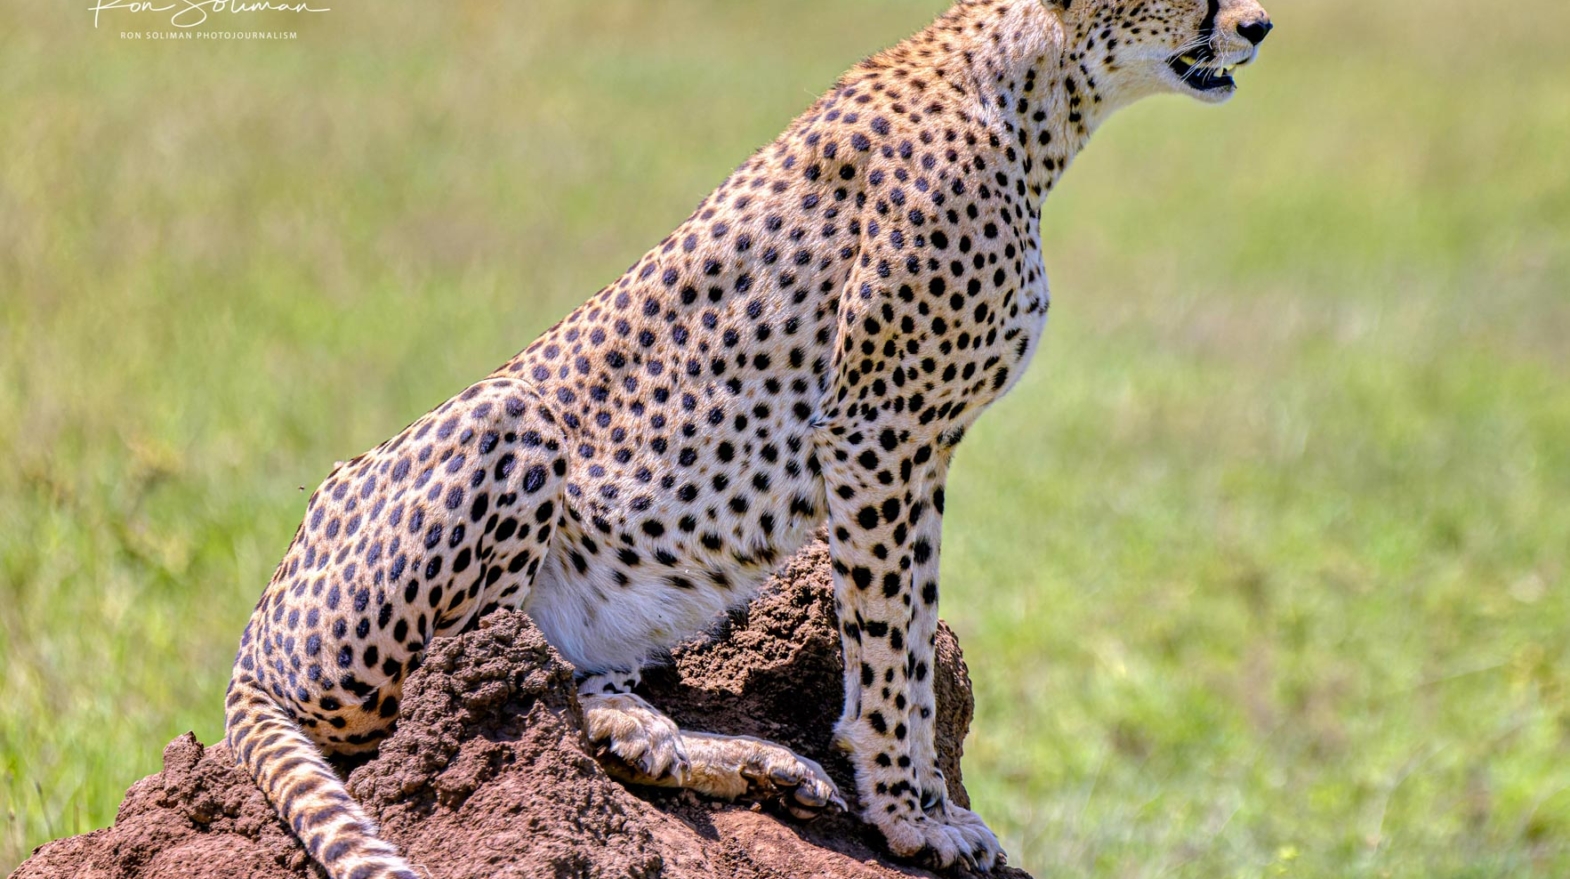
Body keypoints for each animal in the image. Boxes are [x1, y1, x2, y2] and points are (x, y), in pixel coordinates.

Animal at [223, 1, 1273, 876]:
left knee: (587, 686)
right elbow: (890, 642)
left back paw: (715, 751)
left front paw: (917, 798)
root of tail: (251, 639)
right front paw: (909, 814)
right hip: (500, 433)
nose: (1260, 24)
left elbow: (909, 631)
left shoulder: (917, 447)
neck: (1035, 94)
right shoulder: (876, 431)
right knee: (476, 689)